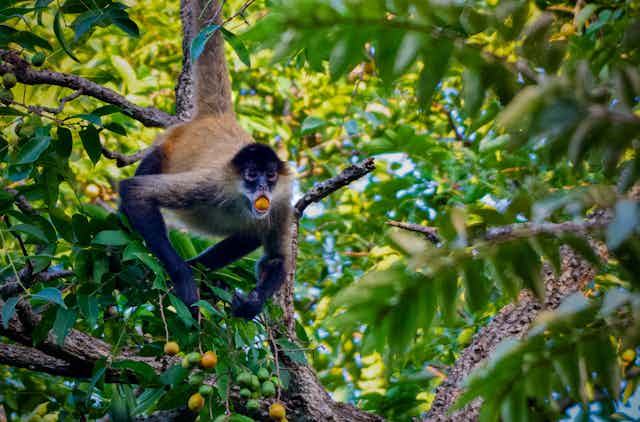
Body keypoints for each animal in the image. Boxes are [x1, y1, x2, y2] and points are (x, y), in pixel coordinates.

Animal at [118, 0, 293, 320]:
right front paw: (183, 277)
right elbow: (135, 192)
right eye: (252, 174)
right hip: (168, 145)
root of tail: (218, 118)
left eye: (271, 175)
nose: (263, 187)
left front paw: (253, 303)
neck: (241, 199)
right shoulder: (212, 182)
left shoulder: (283, 200)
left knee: (251, 233)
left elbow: (276, 259)